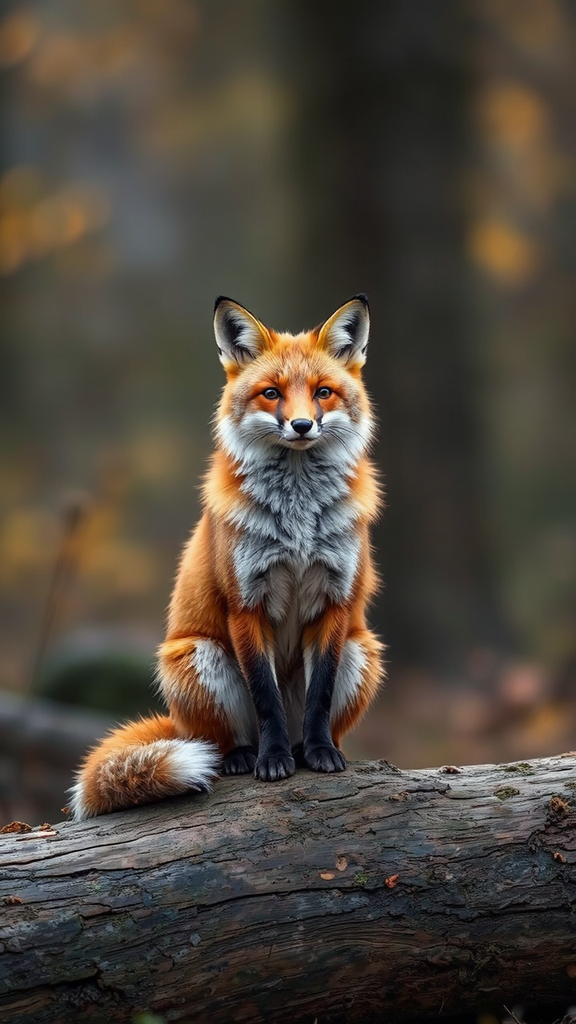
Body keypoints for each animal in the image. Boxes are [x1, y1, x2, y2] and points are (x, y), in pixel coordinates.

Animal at [70, 295, 384, 819]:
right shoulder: (245, 604)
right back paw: (245, 756)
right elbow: (265, 697)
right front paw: (273, 762)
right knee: (220, 742)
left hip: (363, 651)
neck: (297, 522)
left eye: (323, 393)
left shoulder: (335, 602)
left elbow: (318, 698)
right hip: (198, 656)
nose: (302, 425)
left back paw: (305, 749)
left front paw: (319, 753)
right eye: (271, 394)